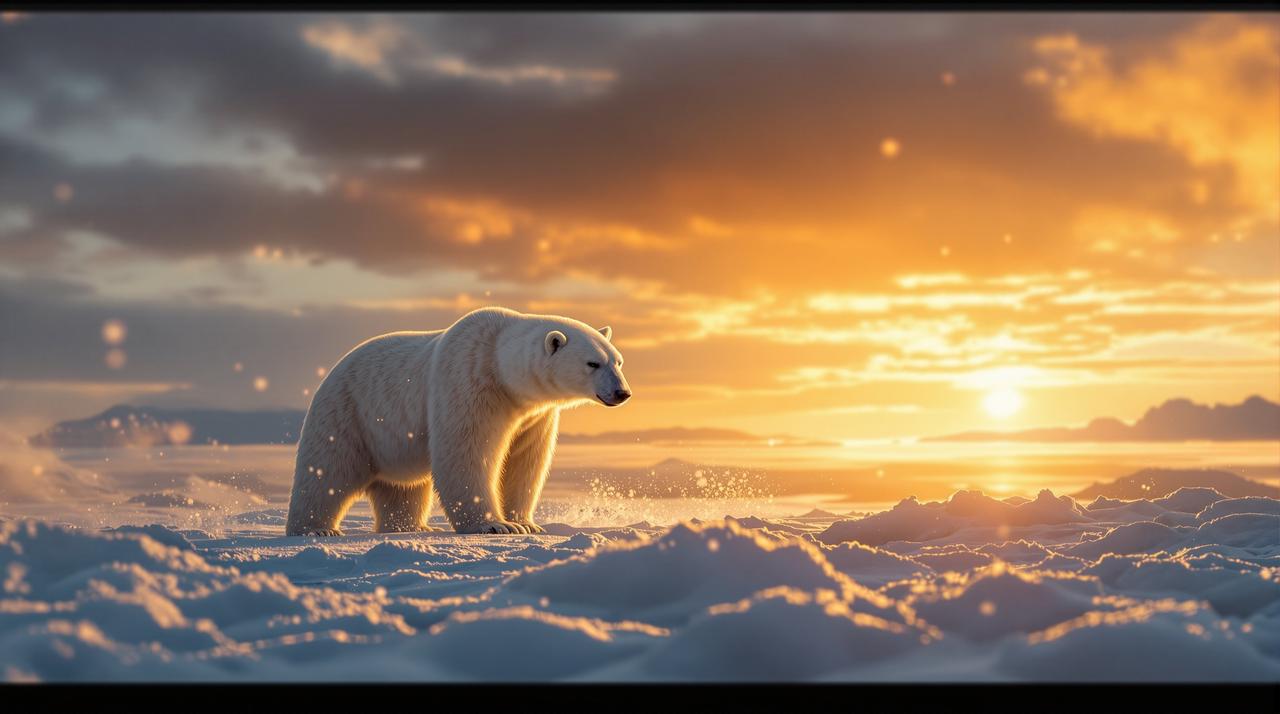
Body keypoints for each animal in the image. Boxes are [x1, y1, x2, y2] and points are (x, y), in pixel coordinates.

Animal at [284, 306, 631, 537]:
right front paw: (495, 525)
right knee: (327, 471)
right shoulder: (469, 382)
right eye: (592, 363)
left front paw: (526, 523)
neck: (500, 365)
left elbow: (525, 461)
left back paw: (412, 527)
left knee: (402, 488)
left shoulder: (534, 415)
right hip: (348, 412)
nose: (622, 392)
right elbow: (467, 451)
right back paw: (316, 529)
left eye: (618, 361)